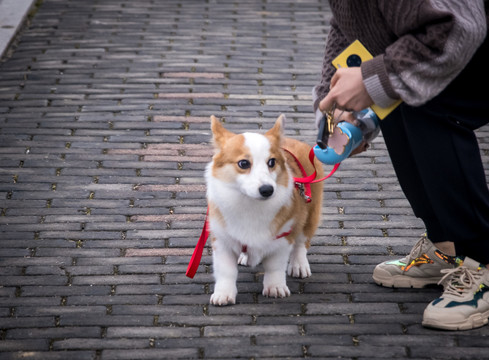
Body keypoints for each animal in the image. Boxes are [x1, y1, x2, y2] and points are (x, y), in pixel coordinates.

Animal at [206, 114, 324, 306]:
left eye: (272, 162)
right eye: (243, 163)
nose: (268, 190)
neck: (250, 204)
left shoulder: (283, 237)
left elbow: (275, 267)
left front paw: (275, 288)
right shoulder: (222, 241)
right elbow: (226, 271)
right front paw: (223, 294)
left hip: (310, 213)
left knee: (301, 242)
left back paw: (299, 265)